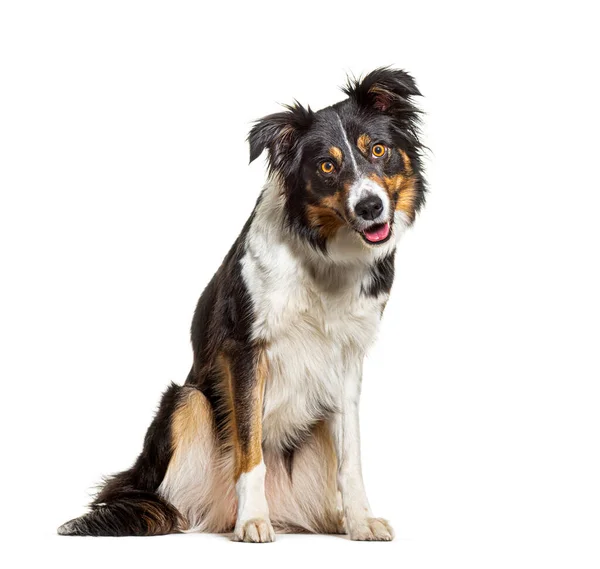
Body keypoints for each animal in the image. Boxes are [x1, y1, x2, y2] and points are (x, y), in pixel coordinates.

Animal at [58, 67, 426, 540]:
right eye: (327, 166)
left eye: (378, 149)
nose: (370, 207)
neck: (324, 255)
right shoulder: (246, 348)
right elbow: (249, 448)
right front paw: (252, 519)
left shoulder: (348, 359)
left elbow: (351, 458)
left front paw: (361, 520)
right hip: (187, 400)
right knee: (173, 501)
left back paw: (331, 519)